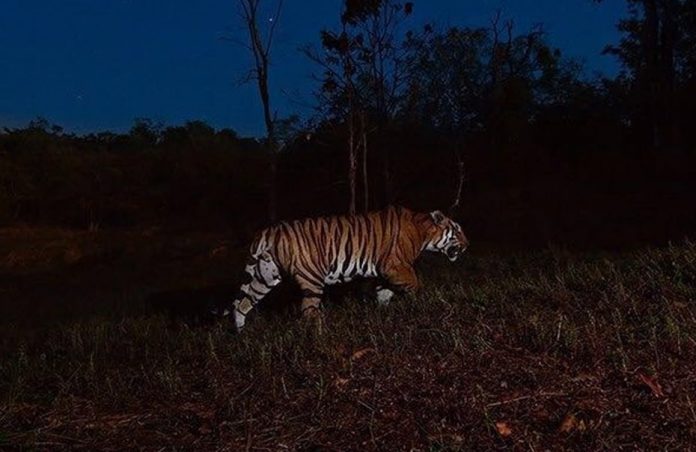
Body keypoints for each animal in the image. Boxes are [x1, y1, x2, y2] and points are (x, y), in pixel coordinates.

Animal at [223, 205, 469, 330]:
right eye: (457, 230)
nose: (467, 245)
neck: (424, 231)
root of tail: (267, 231)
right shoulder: (396, 265)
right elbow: (416, 284)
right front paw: (425, 304)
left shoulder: (383, 273)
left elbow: (384, 294)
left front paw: (384, 316)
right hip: (312, 278)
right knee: (308, 311)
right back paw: (320, 335)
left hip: (265, 276)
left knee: (242, 305)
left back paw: (241, 335)